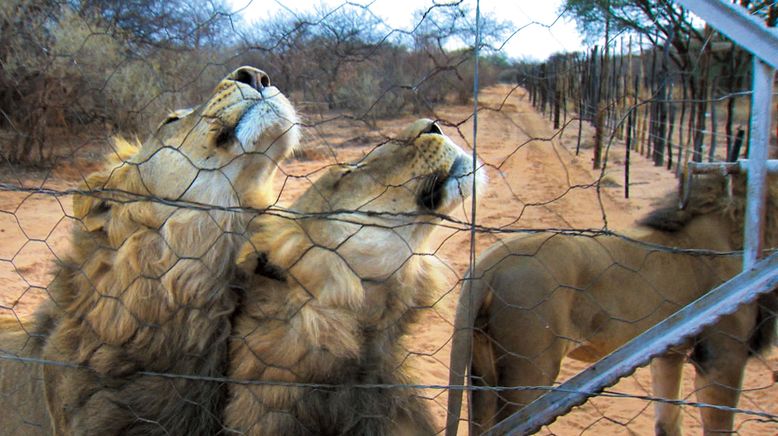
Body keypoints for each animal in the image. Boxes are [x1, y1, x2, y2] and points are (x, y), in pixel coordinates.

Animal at [446, 172, 776, 434]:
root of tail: (489, 262)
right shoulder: (723, 354)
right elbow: (718, 425)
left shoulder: (669, 352)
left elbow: (668, 419)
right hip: (529, 370)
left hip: (483, 368)